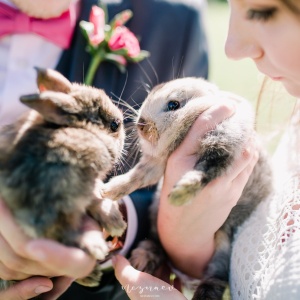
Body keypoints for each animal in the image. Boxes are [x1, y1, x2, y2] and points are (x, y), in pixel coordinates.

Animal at [104, 78, 274, 300]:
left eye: (173, 105)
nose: (141, 124)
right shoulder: (155, 165)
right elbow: (136, 177)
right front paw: (108, 191)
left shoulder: (223, 142)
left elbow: (206, 170)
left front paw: (180, 193)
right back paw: (142, 259)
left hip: (222, 243)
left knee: (216, 277)